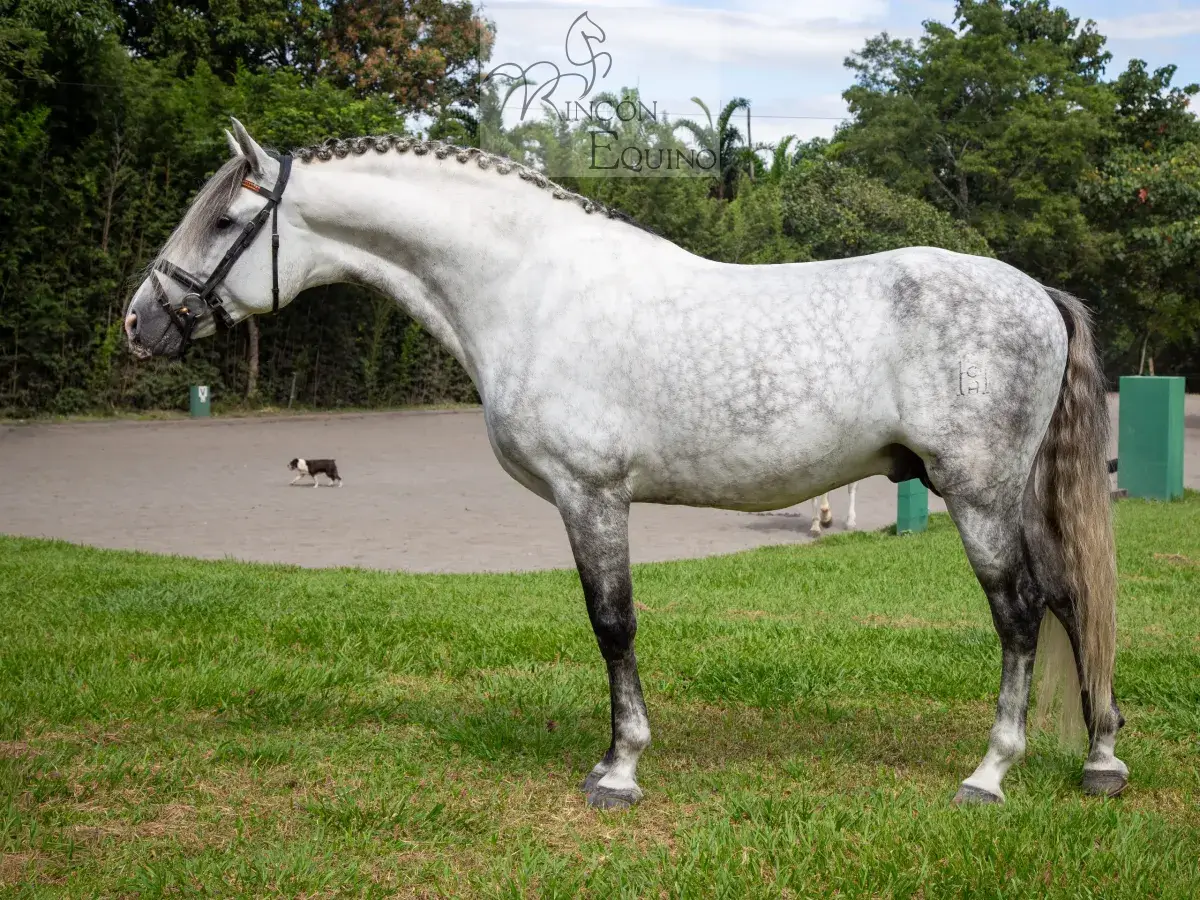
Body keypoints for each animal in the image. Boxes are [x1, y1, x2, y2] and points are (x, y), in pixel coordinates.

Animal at [123, 119, 1128, 809]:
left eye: (225, 218)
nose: (139, 321)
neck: (530, 288)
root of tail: (1033, 290)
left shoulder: (591, 495)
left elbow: (613, 624)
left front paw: (619, 768)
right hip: (1015, 496)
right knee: (1069, 596)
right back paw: (1102, 757)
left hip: (978, 495)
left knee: (1019, 611)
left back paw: (991, 773)